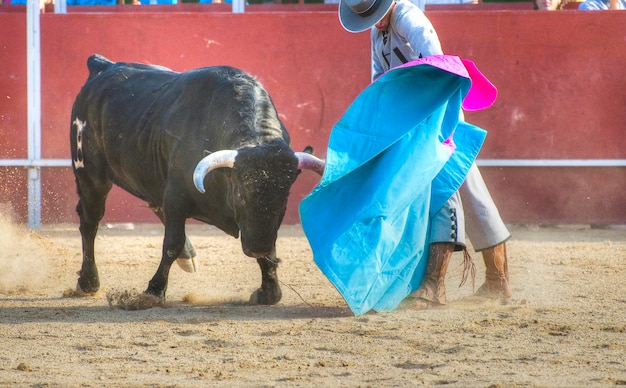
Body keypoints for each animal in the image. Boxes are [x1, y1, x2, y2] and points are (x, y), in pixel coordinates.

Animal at [72, 54, 326, 304]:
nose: (257, 248)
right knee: (90, 221)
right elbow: (171, 243)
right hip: (90, 174)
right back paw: (88, 282)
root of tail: (102, 65)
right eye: (240, 194)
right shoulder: (176, 197)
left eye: (285, 197)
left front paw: (269, 291)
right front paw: (153, 291)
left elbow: (271, 253)